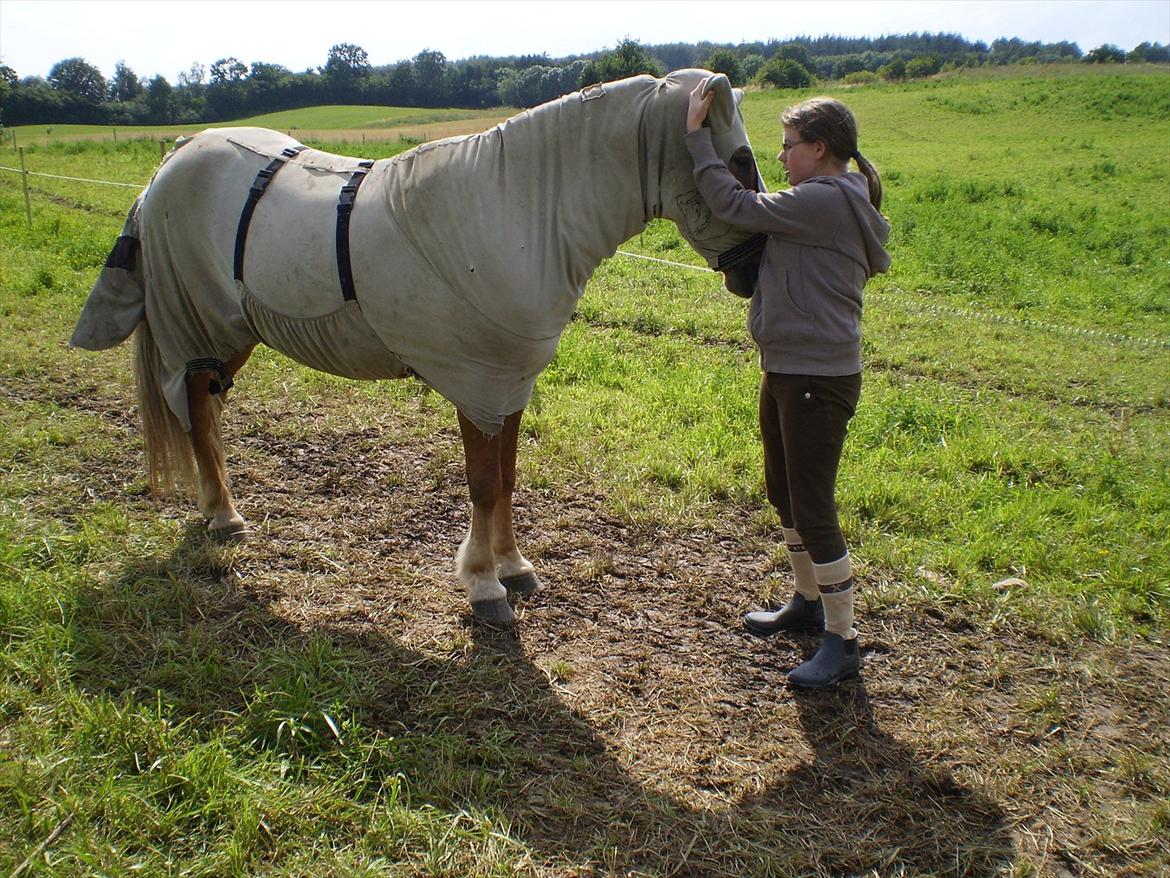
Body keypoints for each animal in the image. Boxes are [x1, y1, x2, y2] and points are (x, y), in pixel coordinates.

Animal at [73, 72, 767, 627]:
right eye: (737, 160)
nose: (756, 270)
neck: (514, 210)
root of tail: (176, 156)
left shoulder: (509, 382)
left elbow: (507, 479)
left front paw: (514, 566)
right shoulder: (478, 384)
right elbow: (483, 485)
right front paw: (485, 587)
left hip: (229, 332)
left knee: (205, 413)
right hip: (201, 328)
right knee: (194, 404)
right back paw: (222, 515)